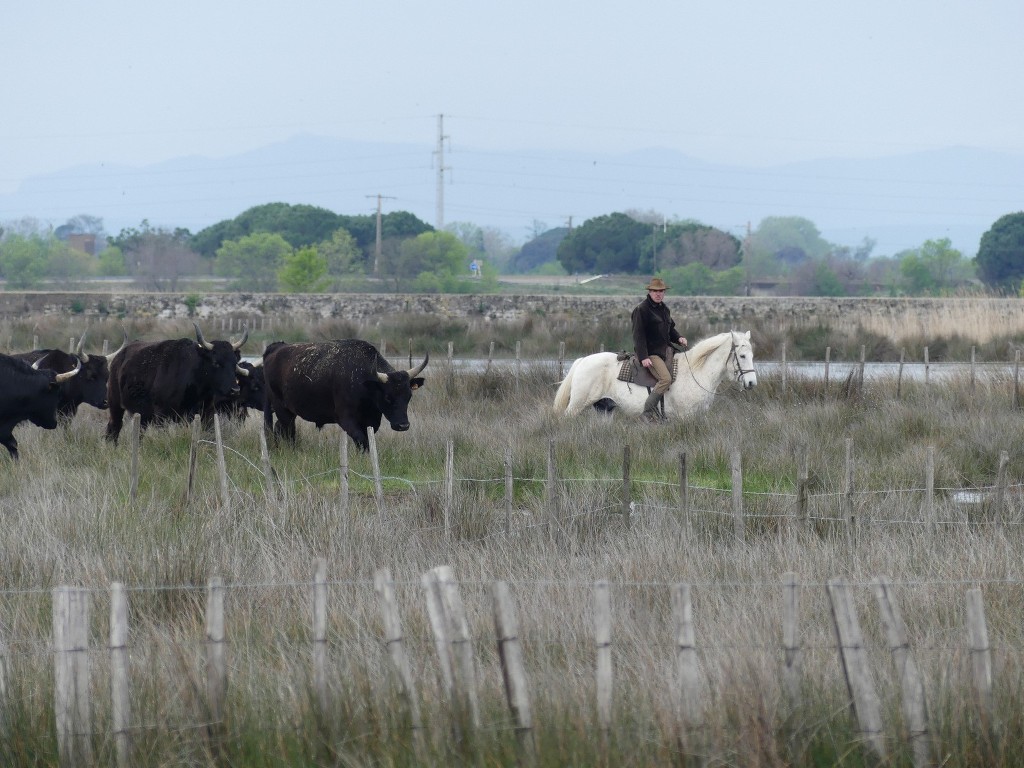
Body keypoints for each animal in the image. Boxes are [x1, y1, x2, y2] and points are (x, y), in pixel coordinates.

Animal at [104, 325, 249, 444]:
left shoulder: (205, 415)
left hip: (142, 414)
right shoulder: (162, 415)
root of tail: (119, 355)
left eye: (234, 363)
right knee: (114, 428)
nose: (235, 390)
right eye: (216, 362)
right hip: (115, 405)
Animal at [552, 329, 761, 417]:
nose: (752, 383)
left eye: (752, 355)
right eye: (742, 356)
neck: (696, 372)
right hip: (577, 405)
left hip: (604, 408)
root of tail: (582, 361)